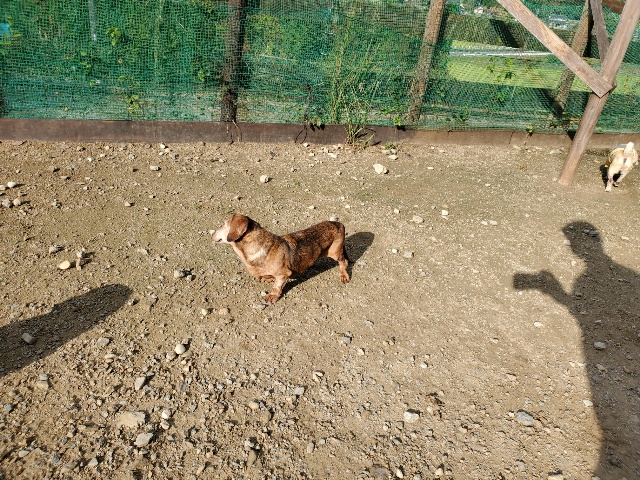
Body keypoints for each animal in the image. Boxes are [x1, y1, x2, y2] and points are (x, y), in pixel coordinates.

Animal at [212, 214, 350, 303]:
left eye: (224, 224)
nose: (211, 233)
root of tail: (339, 223)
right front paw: (267, 278)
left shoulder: (283, 274)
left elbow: (277, 286)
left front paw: (272, 296)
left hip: (335, 252)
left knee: (343, 262)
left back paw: (344, 275)